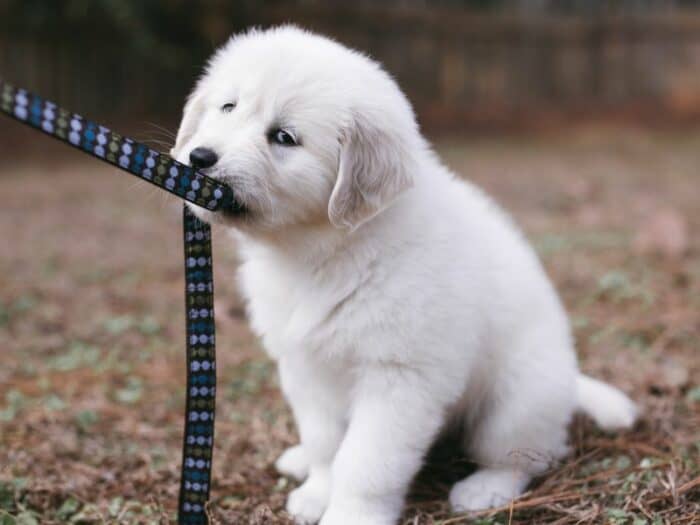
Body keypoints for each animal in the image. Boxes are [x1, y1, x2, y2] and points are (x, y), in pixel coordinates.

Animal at [171, 25, 640, 524]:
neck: (321, 251)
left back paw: (485, 489)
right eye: (228, 107)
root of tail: (570, 381)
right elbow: (325, 444)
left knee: (527, 455)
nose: (199, 157)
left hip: (517, 401)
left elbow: (365, 463)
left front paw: (349, 515)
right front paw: (317, 492)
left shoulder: (399, 378)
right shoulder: (306, 367)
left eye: (283, 137)